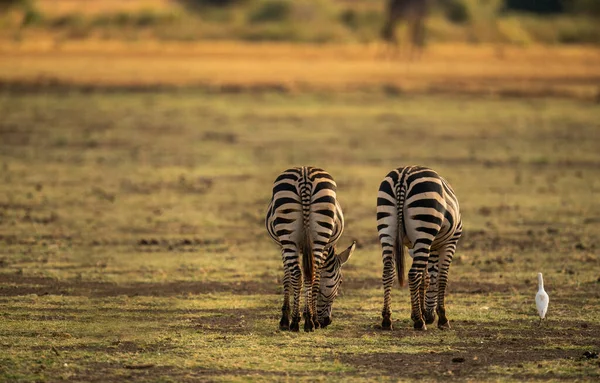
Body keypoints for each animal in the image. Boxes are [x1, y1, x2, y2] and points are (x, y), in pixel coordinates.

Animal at [264, 167, 354, 332]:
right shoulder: (324, 247)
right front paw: (310, 317)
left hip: (289, 236)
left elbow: (288, 278)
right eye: (341, 282)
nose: (327, 322)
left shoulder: (283, 246)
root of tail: (304, 174)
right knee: (310, 274)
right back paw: (309, 321)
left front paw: (287, 318)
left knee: (299, 274)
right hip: (317, 237)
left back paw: (296, 322)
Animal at [376, 166, 464, 332]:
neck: (435, 248)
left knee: (388, 271)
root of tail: (403, 176)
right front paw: (441, 317)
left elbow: (426, 278)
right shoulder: (450, 242)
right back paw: (419, 322)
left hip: (387, 228)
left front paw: (422, 312)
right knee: (413, 274)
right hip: (425, 226)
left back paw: (387, 319)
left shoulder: (415, 247)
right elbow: (441, 278)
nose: (430, 317)